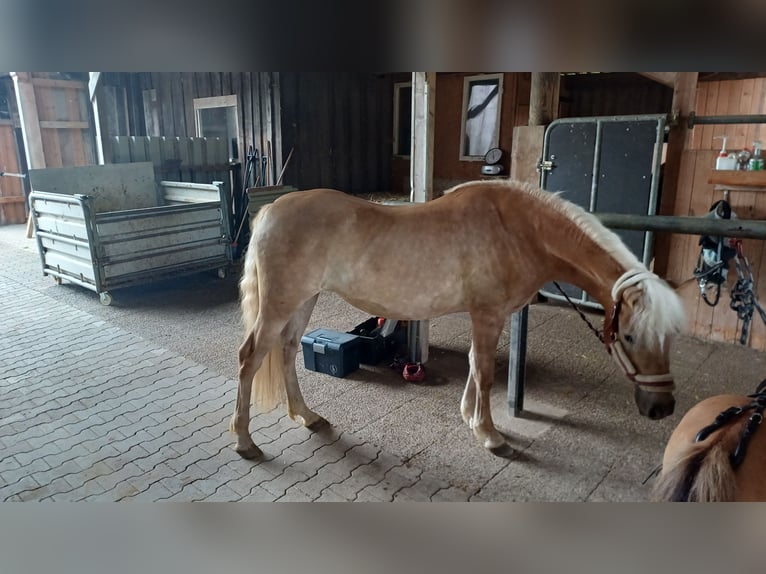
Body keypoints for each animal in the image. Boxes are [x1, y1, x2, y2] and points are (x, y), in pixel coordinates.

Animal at [231, 178, 688, 462]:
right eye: (630, 336)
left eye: (670, 338)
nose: (662, 408)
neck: (519, 229)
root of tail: (272, 210)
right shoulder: (488, 314)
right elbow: (484, 372)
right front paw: (490, 434)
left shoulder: (483, 315)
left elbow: (473, 364)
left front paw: (470, 417)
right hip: (280, 304)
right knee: (250, 358)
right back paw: (245, 442)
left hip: (303, 300)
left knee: (287, 351)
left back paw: (306, 416)